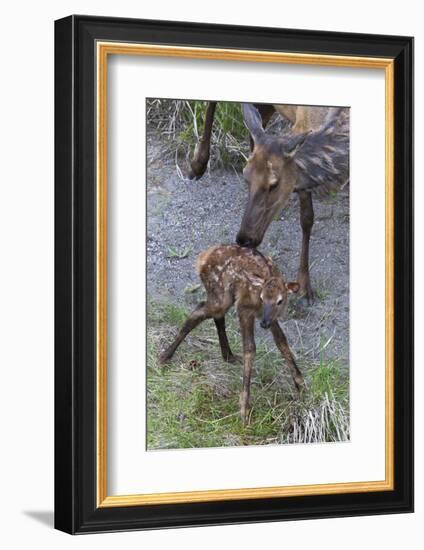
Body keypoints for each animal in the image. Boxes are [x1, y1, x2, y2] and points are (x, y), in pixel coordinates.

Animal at [160, 245, 304, 422]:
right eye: (262, 297)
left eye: (280, 300)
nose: (263, 324)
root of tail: (202, 257)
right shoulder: (244, 307)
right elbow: (250, 348)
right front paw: (244, 408)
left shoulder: (271, 318)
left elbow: (282, 341)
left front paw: (301, 385)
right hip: (220, 294)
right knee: (199, 311)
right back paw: (165, 356)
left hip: (223, 297)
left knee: (214, 314)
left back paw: (227, 355)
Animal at [188, 102, 348, 302]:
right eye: (245, 177)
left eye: (274, 184)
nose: (244, 239)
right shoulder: (301, 128)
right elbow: (307, 217)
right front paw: (304, 284)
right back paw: (197, 165)